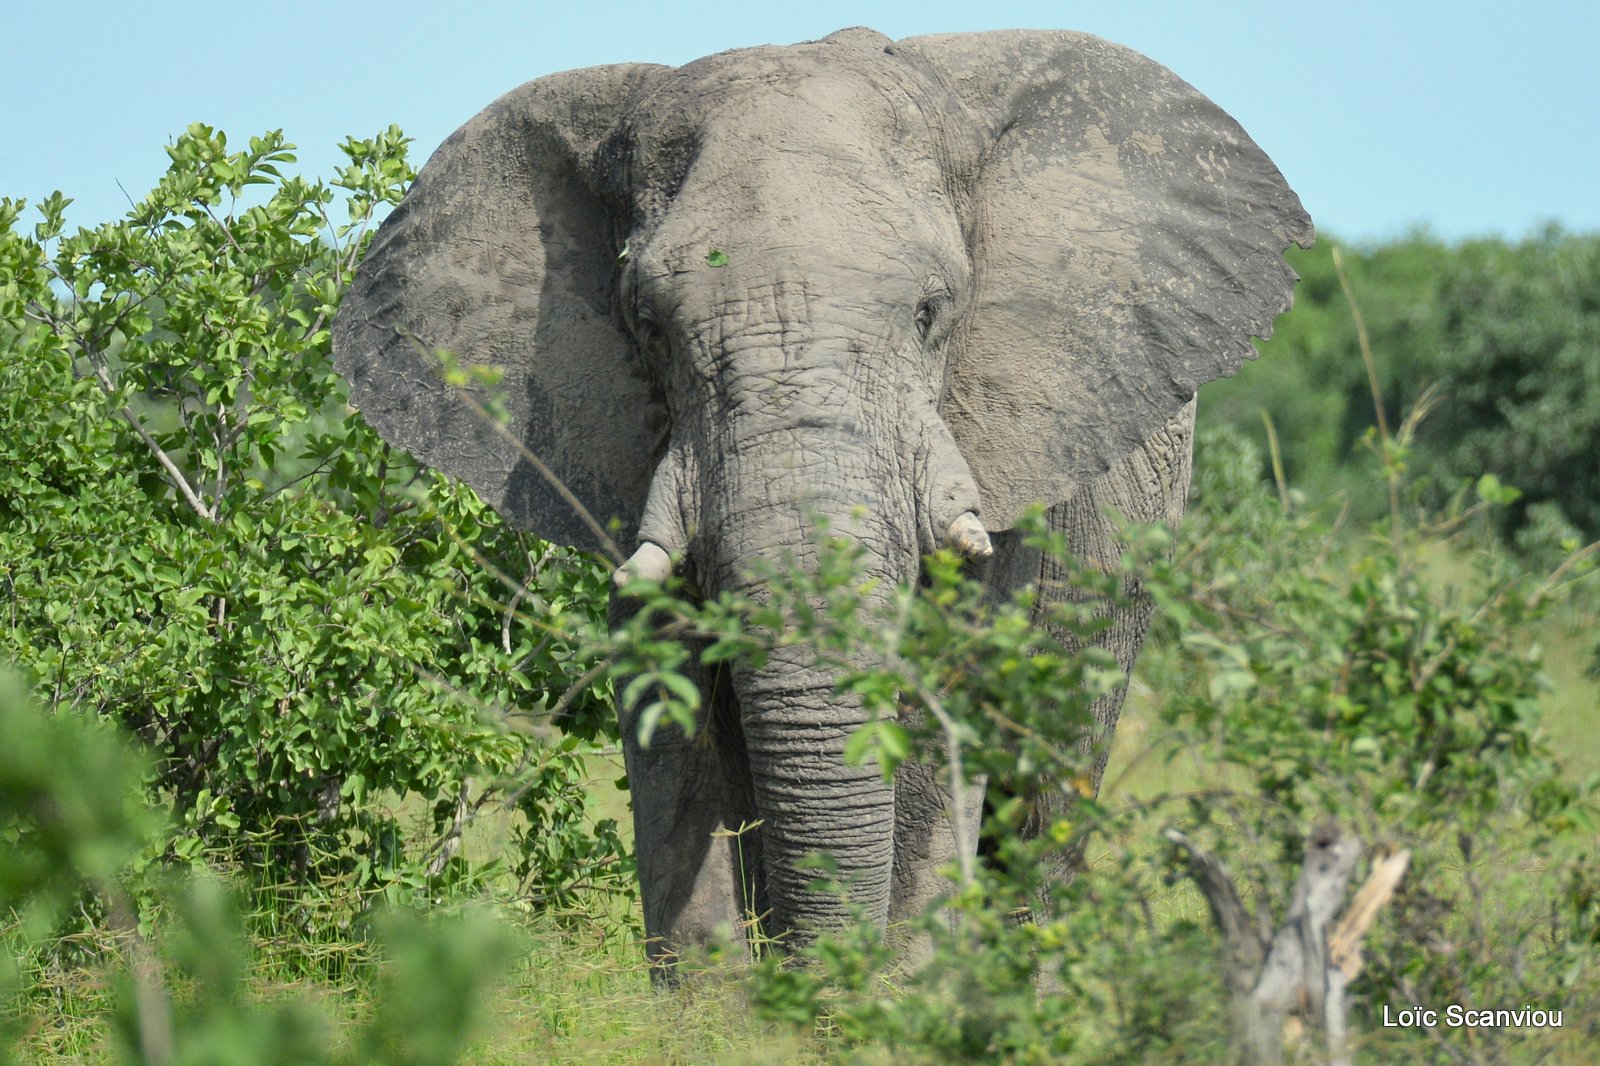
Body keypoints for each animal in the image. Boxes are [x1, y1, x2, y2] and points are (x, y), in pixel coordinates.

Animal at [328, 29, 1312, 966]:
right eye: (648, 325)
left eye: (929, 312)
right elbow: (669, 714)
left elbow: (933, 718)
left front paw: (887, 996)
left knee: (1048, 788)